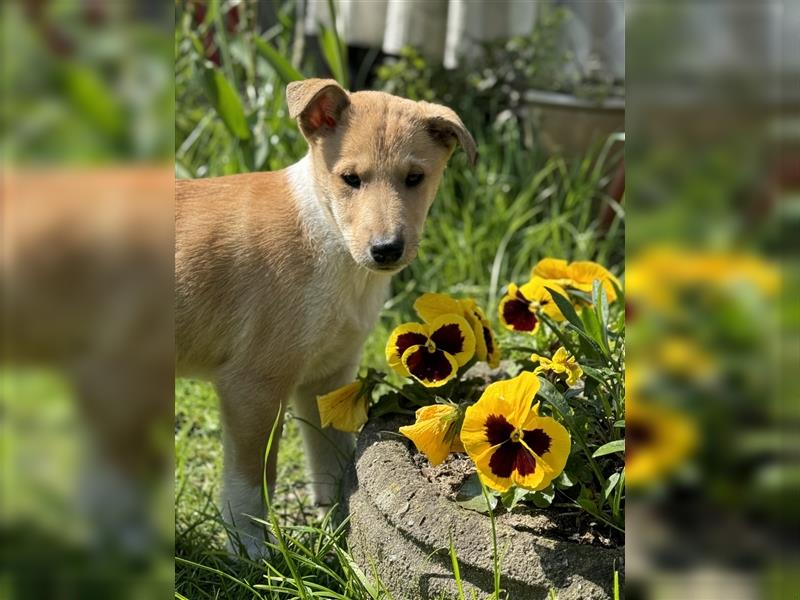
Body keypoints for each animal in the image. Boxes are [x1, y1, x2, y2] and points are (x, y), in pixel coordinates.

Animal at [175, 77, 476, 556]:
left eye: (415, 178)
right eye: (350, 179)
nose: (386, 249)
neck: (328, 237)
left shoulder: (328, 376)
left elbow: (334, 461)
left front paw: (340, 532)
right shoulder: (252, 385)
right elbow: (251, 483)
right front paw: (253, 554)